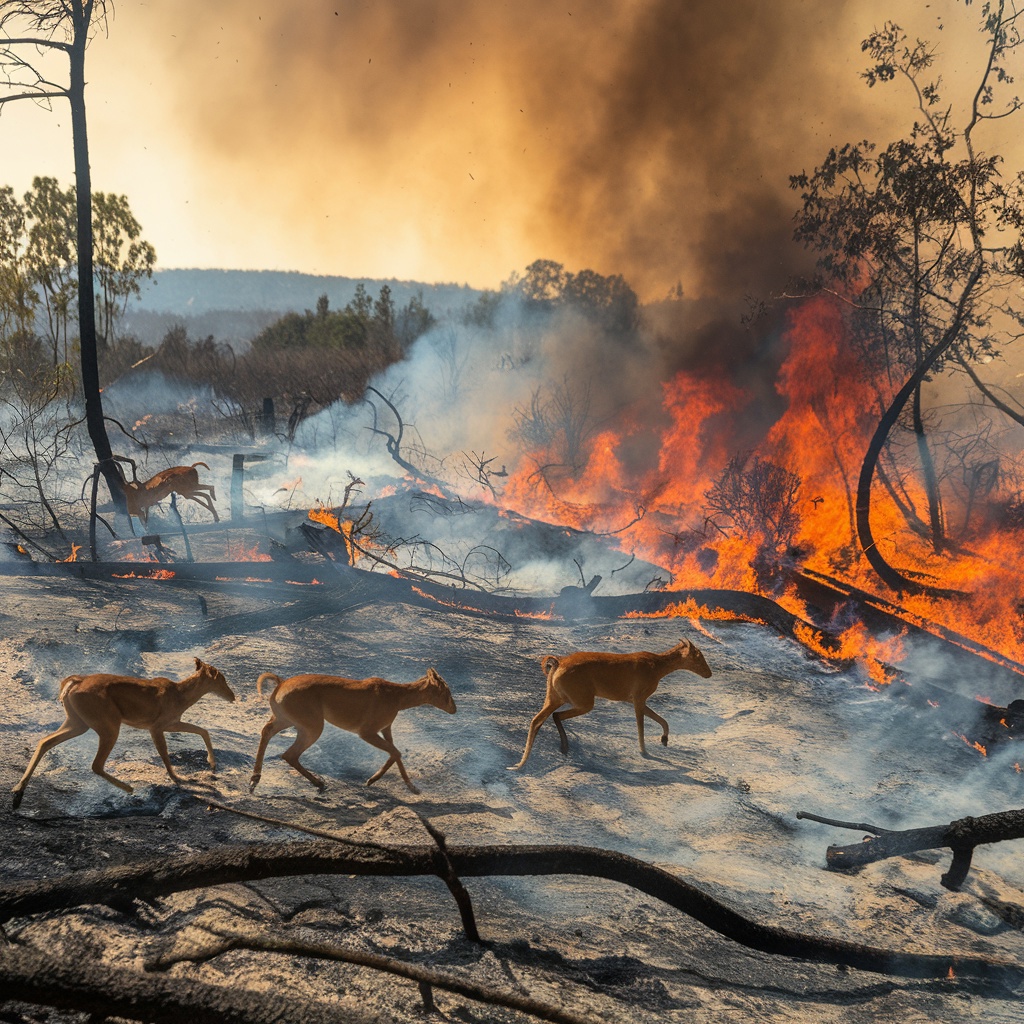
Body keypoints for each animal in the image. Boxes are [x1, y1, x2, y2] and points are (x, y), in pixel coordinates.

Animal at [11, 655, 235, 806]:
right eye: (222, 679)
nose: (233, 696)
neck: (180, 696)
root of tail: (74, 682)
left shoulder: (171, 722)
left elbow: (203, 730)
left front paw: (212, 764)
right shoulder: (156, 726)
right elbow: (164, 752)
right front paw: (179, 778)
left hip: (78, 721)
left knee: (45, 741)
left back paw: (18, 790)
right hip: (107, 724)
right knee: (96, 764)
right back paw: (129, 787)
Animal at [247, 667, 456, 794]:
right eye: (447, 691)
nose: (455, 709)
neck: (397, 697)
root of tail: (280, 684)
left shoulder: (385, 729)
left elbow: (395, 753)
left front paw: (411, 787)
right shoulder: (366, 731)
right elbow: (396, 752)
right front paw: (372, 780)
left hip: (287, 719)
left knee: (267, 732)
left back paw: (255, 778)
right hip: (312, 725)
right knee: (289, 754)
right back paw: (318, 783)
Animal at [505, 634, 712, 770]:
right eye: (699, 656)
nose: (709, 673)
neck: (657, 667)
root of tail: (558, 662)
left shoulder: (637, 700)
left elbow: (662, 720)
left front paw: (664, 739)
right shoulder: (638, 698)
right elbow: (641, 727)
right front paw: (644, 751)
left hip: (556, 697)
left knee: (538, 720)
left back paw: (535, 758)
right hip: (583, 701)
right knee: (553, 717)